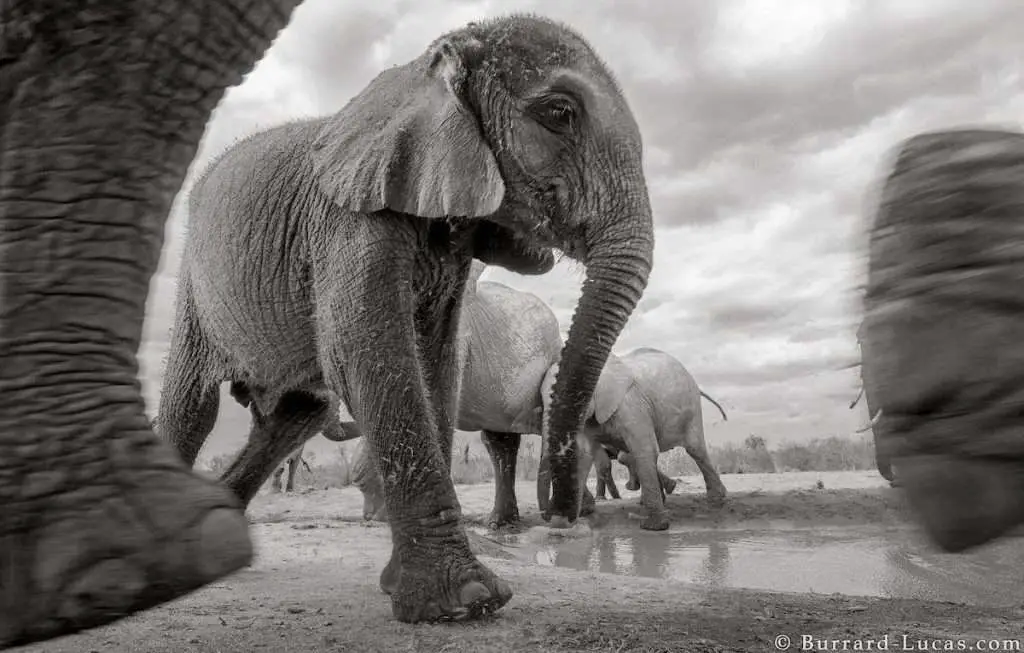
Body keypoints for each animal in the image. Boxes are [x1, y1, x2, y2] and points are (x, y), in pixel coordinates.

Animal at [536, 347, 729, 532]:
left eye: (574, 396)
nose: (546, 516)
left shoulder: (631, 405)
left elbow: (645, 449)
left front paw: (653, 527)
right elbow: (583, 456)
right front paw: (568, 521)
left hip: (691, 405)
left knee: (695, 449)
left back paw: (716, 499)